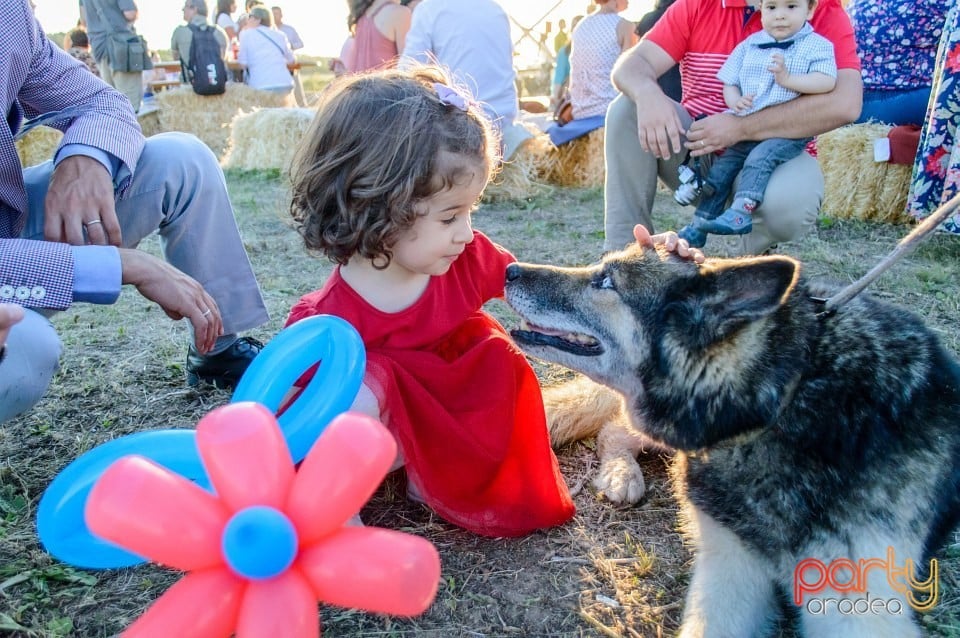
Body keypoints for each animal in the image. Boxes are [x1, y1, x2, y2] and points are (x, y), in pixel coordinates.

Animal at [506, 245, 956, 638]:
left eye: (606, 281)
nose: (509, 269)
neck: (786, 397)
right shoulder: (730, 567)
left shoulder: (860, 608)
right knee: (614, 429)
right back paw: (622, 475)